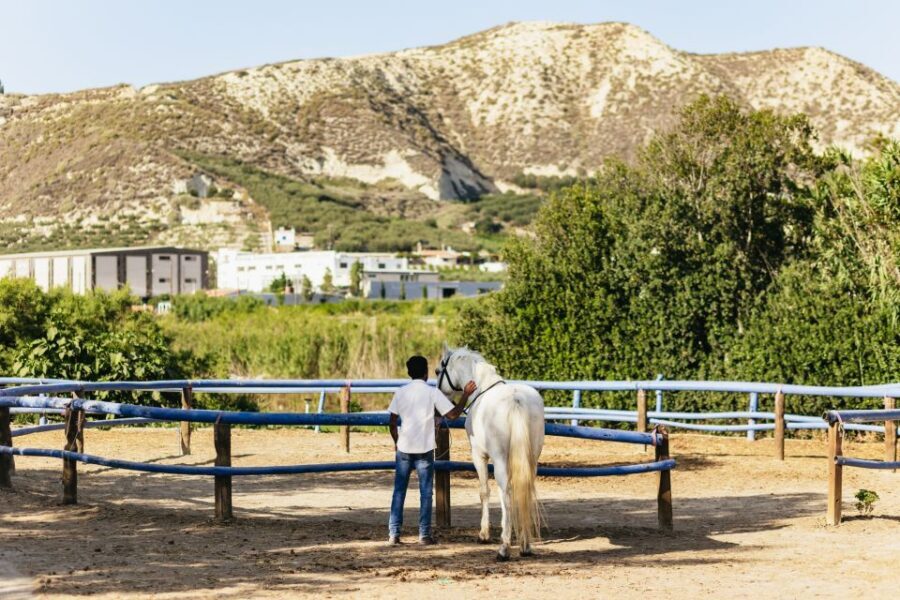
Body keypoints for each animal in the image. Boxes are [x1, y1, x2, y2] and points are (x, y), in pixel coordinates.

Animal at [436, 344, 545, 560]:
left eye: (438, 370)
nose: (440, 392)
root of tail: (516, 399)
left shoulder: (479, 456)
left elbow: (484, 491)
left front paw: (484, 534)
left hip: (500, 460)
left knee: (506, 493)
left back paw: (504, 548)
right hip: (532, 460)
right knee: (524, 491)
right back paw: (525, 545)